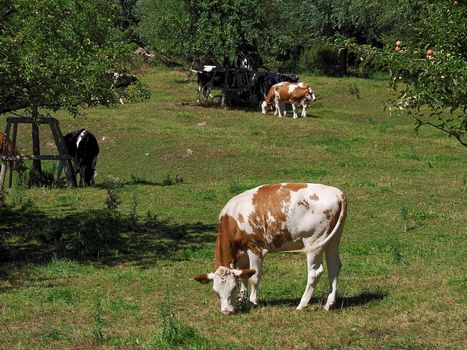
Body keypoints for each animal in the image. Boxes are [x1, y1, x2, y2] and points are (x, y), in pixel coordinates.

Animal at [194, 183, 348, 314]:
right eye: (216, 292)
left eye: (233, 289)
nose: (226, 312)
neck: (233, 219)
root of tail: (337, 192)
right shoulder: (242, 251)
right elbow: (244, 275)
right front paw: (242, 298)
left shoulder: (255, 248)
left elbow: (254, 277)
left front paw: (251, 302)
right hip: (333, 239)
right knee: (334, 266)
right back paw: (329, 304)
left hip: (314, 242)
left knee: (315, 272)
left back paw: (302, 304)